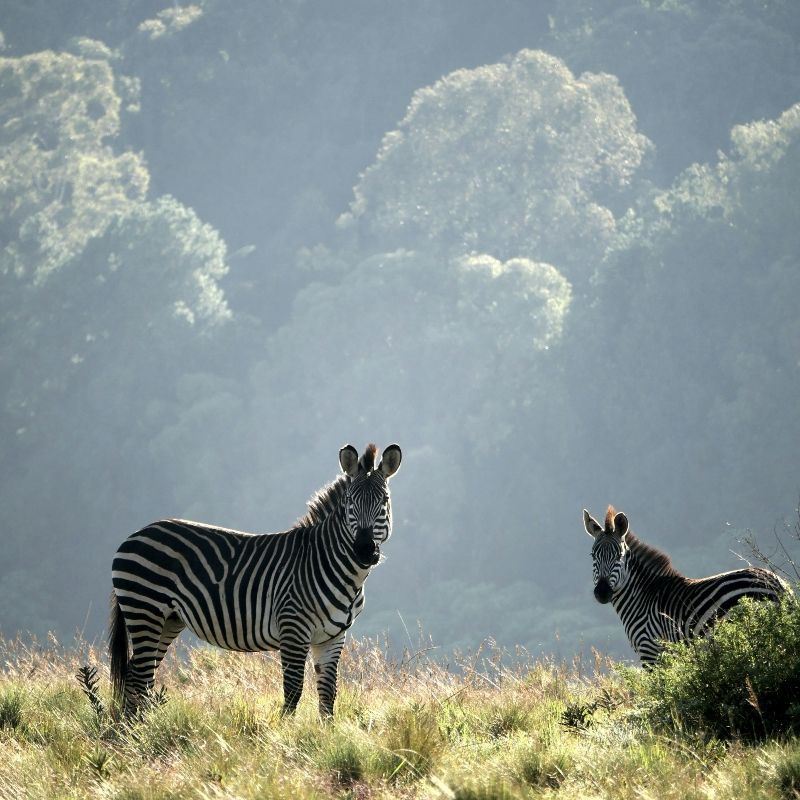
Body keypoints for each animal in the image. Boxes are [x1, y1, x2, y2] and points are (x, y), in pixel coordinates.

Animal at [109, 442, 402, 717]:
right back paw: (138, 730)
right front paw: (284, 734)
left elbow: (328, 696)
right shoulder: (293, 628)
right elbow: (293, 691)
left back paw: (133, 728)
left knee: (137, 676)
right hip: (145, 610)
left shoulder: (332, 637)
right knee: (139, 677)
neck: (338, 569)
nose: (364, 550)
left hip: (168, 620)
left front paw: (326, 734)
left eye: (384, 501)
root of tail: (136, 534)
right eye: (350, 502)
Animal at [583, 505, 788, 665]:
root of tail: (775, 583)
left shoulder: (650, 650)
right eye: (593, 556)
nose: (602, 593)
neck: (642, 597)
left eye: (619, 556)